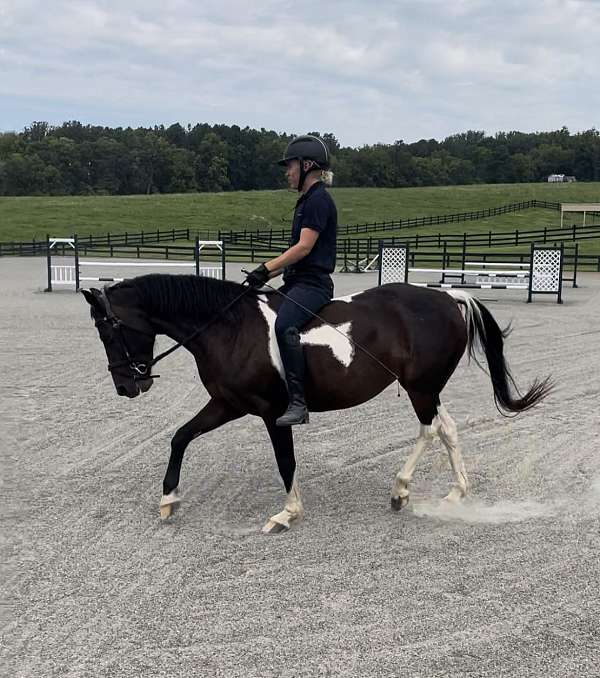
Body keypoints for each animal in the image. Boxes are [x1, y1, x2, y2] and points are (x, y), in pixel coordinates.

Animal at [82, 273, 552, 533]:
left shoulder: (273, 413)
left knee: (430, 429)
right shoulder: (227, 403)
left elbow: (285, 461)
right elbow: (180, 437)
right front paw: (168, 500)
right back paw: (453, 493)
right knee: (446, 428)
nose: (126, 386)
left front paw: (287, 514)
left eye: (109, 330)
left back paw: (401, 490)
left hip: (420, 388)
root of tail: (448, 298)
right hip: (428, 388)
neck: (230, 328)